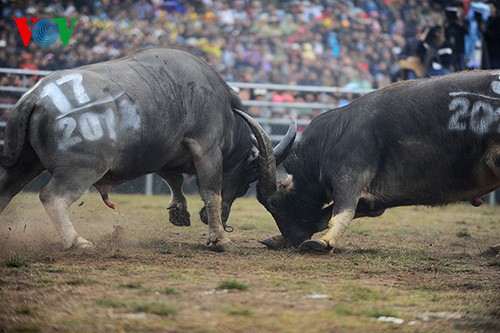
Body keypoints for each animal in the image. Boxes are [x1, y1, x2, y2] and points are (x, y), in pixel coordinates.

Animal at [0, 48, 294, 250]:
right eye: (245, 184)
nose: (223, 219)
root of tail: (36, 96)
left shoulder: (165, 154)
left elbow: (174, 180)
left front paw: (179, 212)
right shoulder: (207, 148)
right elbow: (212, 192)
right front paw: (219, 238)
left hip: (25, 163)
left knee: (6, 191)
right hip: (81, 169)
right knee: (53, 197)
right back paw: (77, 241)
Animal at [240, 70, 498, 252]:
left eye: (273, 203)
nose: (293, 238)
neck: (332, 139)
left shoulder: (349, 178)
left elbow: (340, 213)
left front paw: (323, 243)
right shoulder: (372, 203)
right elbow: (324, 216)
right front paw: (278, 238)